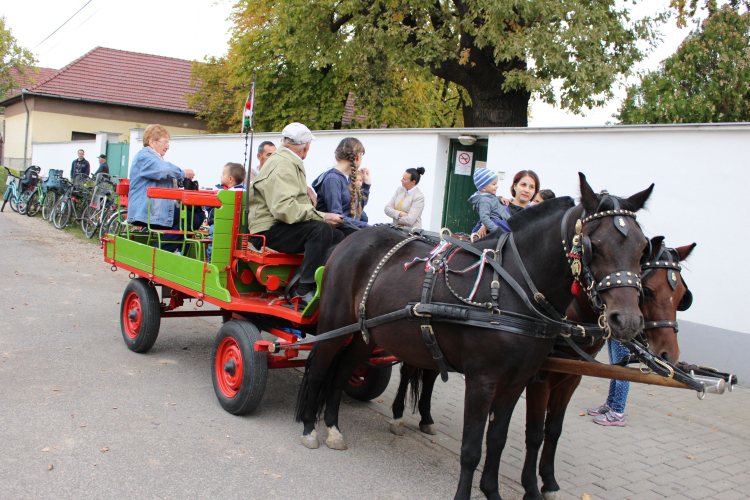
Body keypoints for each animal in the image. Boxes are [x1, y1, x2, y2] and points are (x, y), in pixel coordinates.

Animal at [298, 176, 652, 500]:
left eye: (642, 248)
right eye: (594, 245)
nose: (628, 320)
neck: (512, 289)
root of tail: (352, 238)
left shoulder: (517, 381)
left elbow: (497, 440)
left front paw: (492, 491)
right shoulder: (483, 380)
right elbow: (472, 448)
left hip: (367, 334)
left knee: (342, 370)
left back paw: (333, 427)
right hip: (335, 324)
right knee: (319, 369)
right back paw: (309, 428)